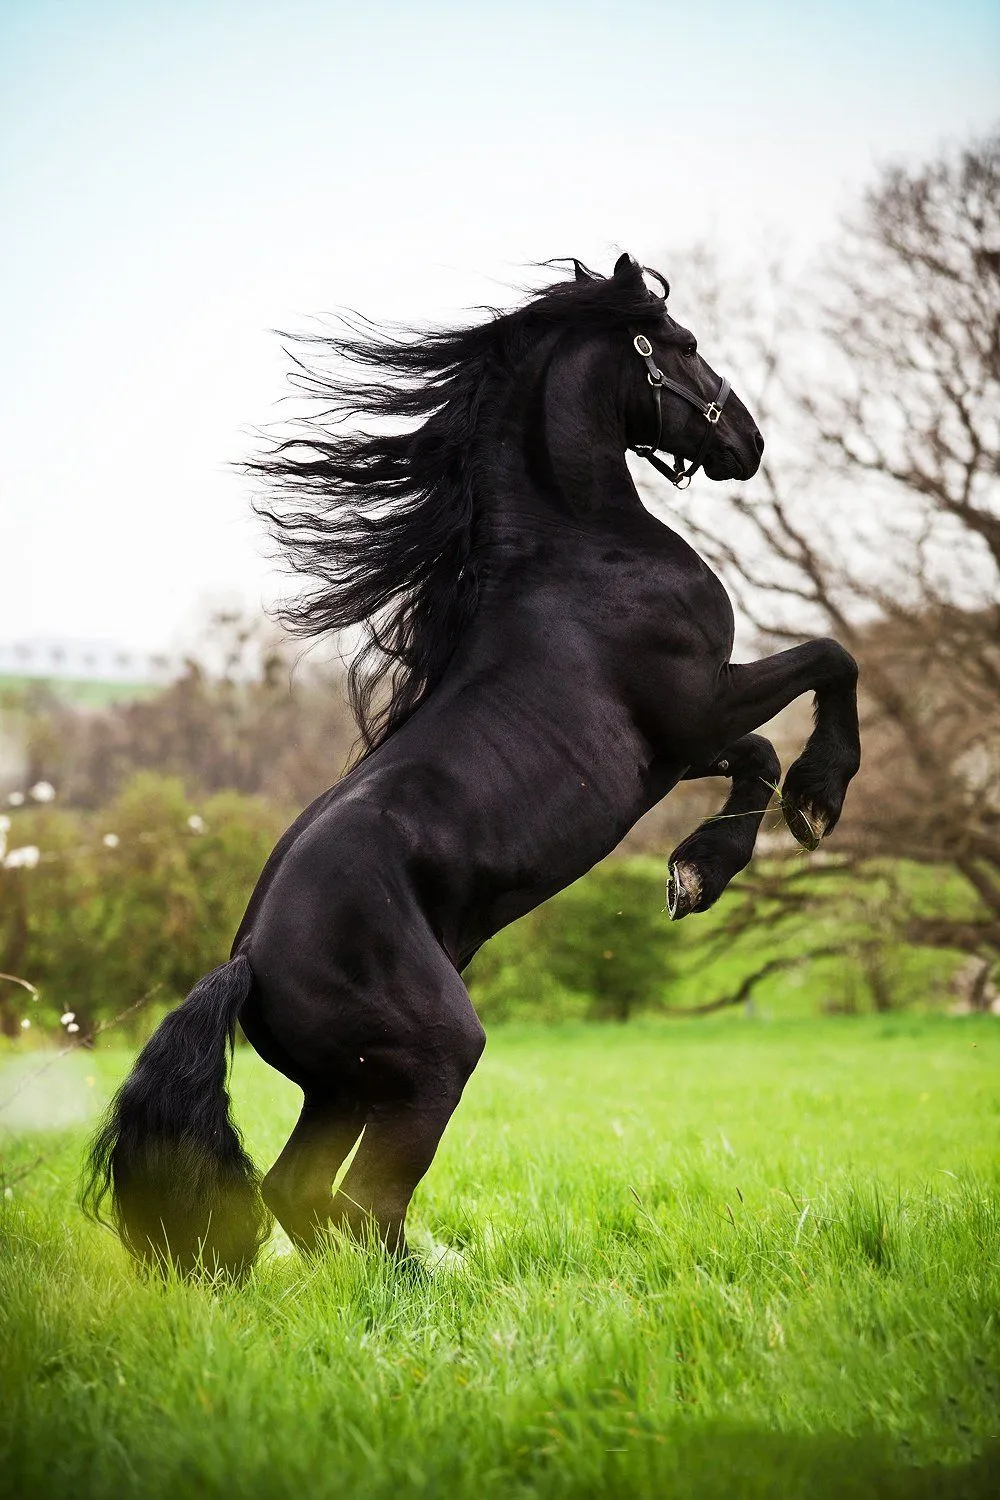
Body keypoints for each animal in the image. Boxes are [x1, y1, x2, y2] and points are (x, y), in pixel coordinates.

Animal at [84, 254, 860, 1276]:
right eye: (682, 344)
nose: (749, 440)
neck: (583, 554)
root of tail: (245, 961)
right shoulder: (698, 707)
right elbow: (830, 662)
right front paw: (811, 805)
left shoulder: (682, 745)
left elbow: (762, 754)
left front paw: (699, 870)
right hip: (431, 1057)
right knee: (362, 1203)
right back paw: (428, 1285)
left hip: (348, 1086)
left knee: (303, 1193)